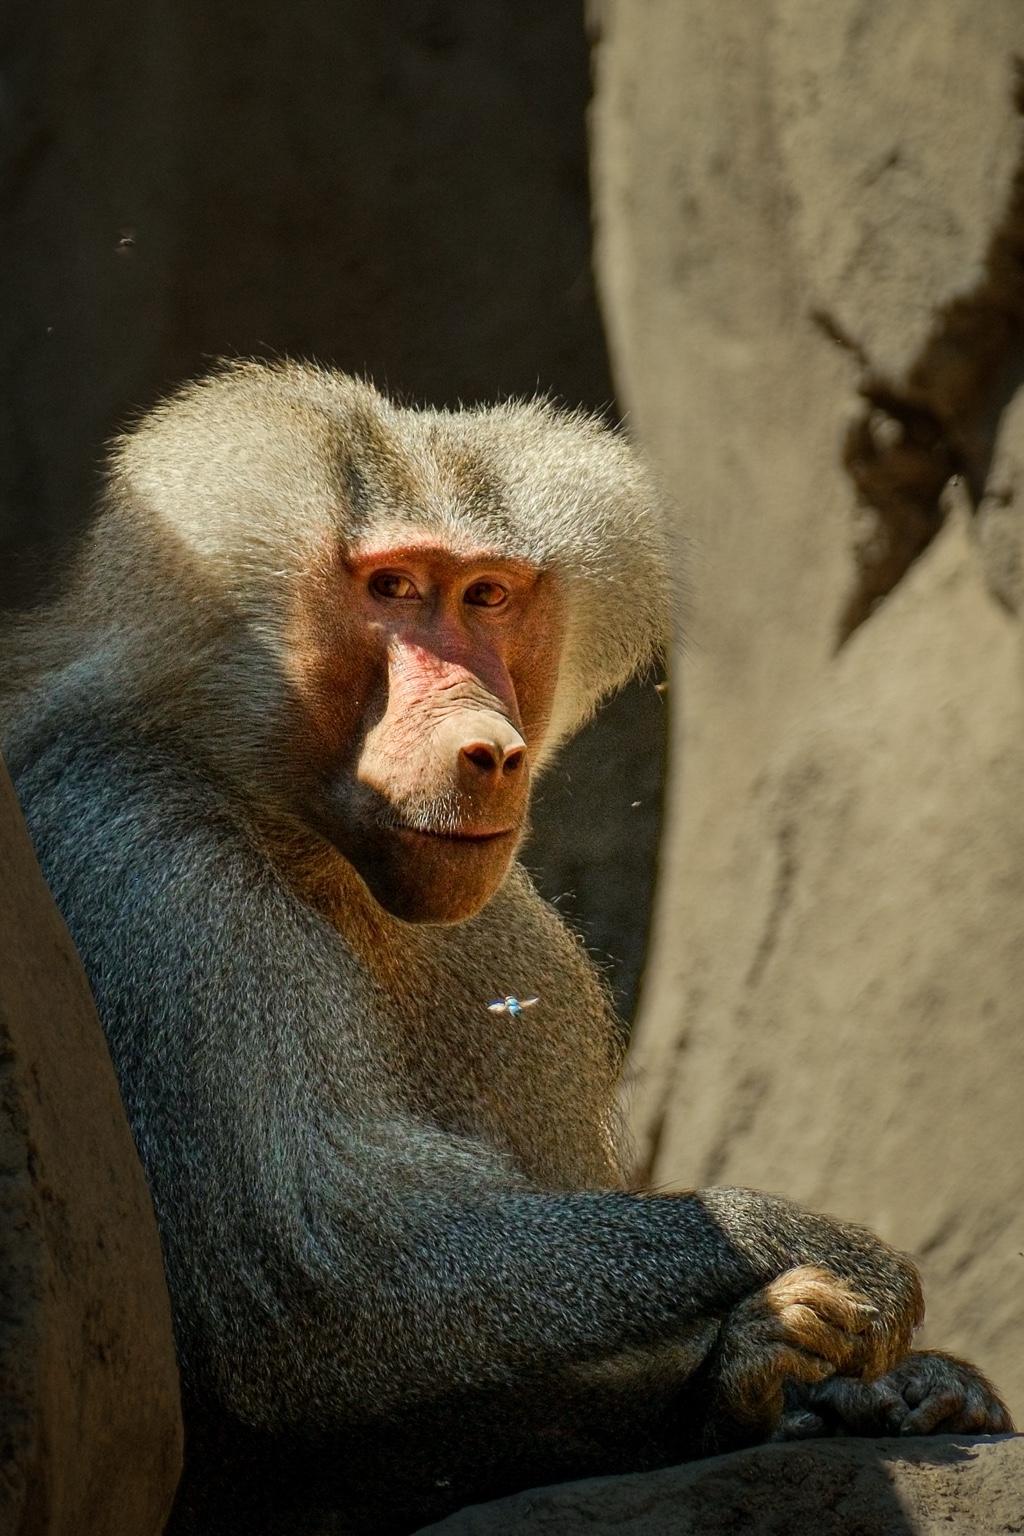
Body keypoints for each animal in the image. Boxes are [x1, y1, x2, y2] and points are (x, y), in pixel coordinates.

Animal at [0, 361, 1011, 1536]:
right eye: (392, 589)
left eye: (485, 596)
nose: (488, 750)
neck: (293, 827)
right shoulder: (154, 879)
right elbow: (318, 1282)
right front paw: (798, 1266)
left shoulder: (502, 942)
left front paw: (871, 1379)